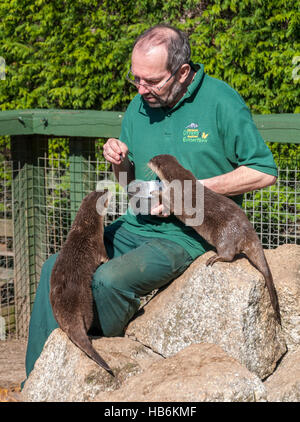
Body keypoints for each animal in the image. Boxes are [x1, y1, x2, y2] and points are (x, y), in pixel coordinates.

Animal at [49, 190, 114, 374]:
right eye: (104, 194)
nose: (108, 189)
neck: (86, 226)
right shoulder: (99, 246)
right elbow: (106, 258)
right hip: (86, 304)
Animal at [148, 154, 282, 324]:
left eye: (153, 159)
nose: (148, 161)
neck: (178, 179)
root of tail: (248, 231)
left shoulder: (172, 196)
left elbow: (166, 200)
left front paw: (154, 192)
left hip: (224, 236)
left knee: (229, 254)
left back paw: (215, 257)